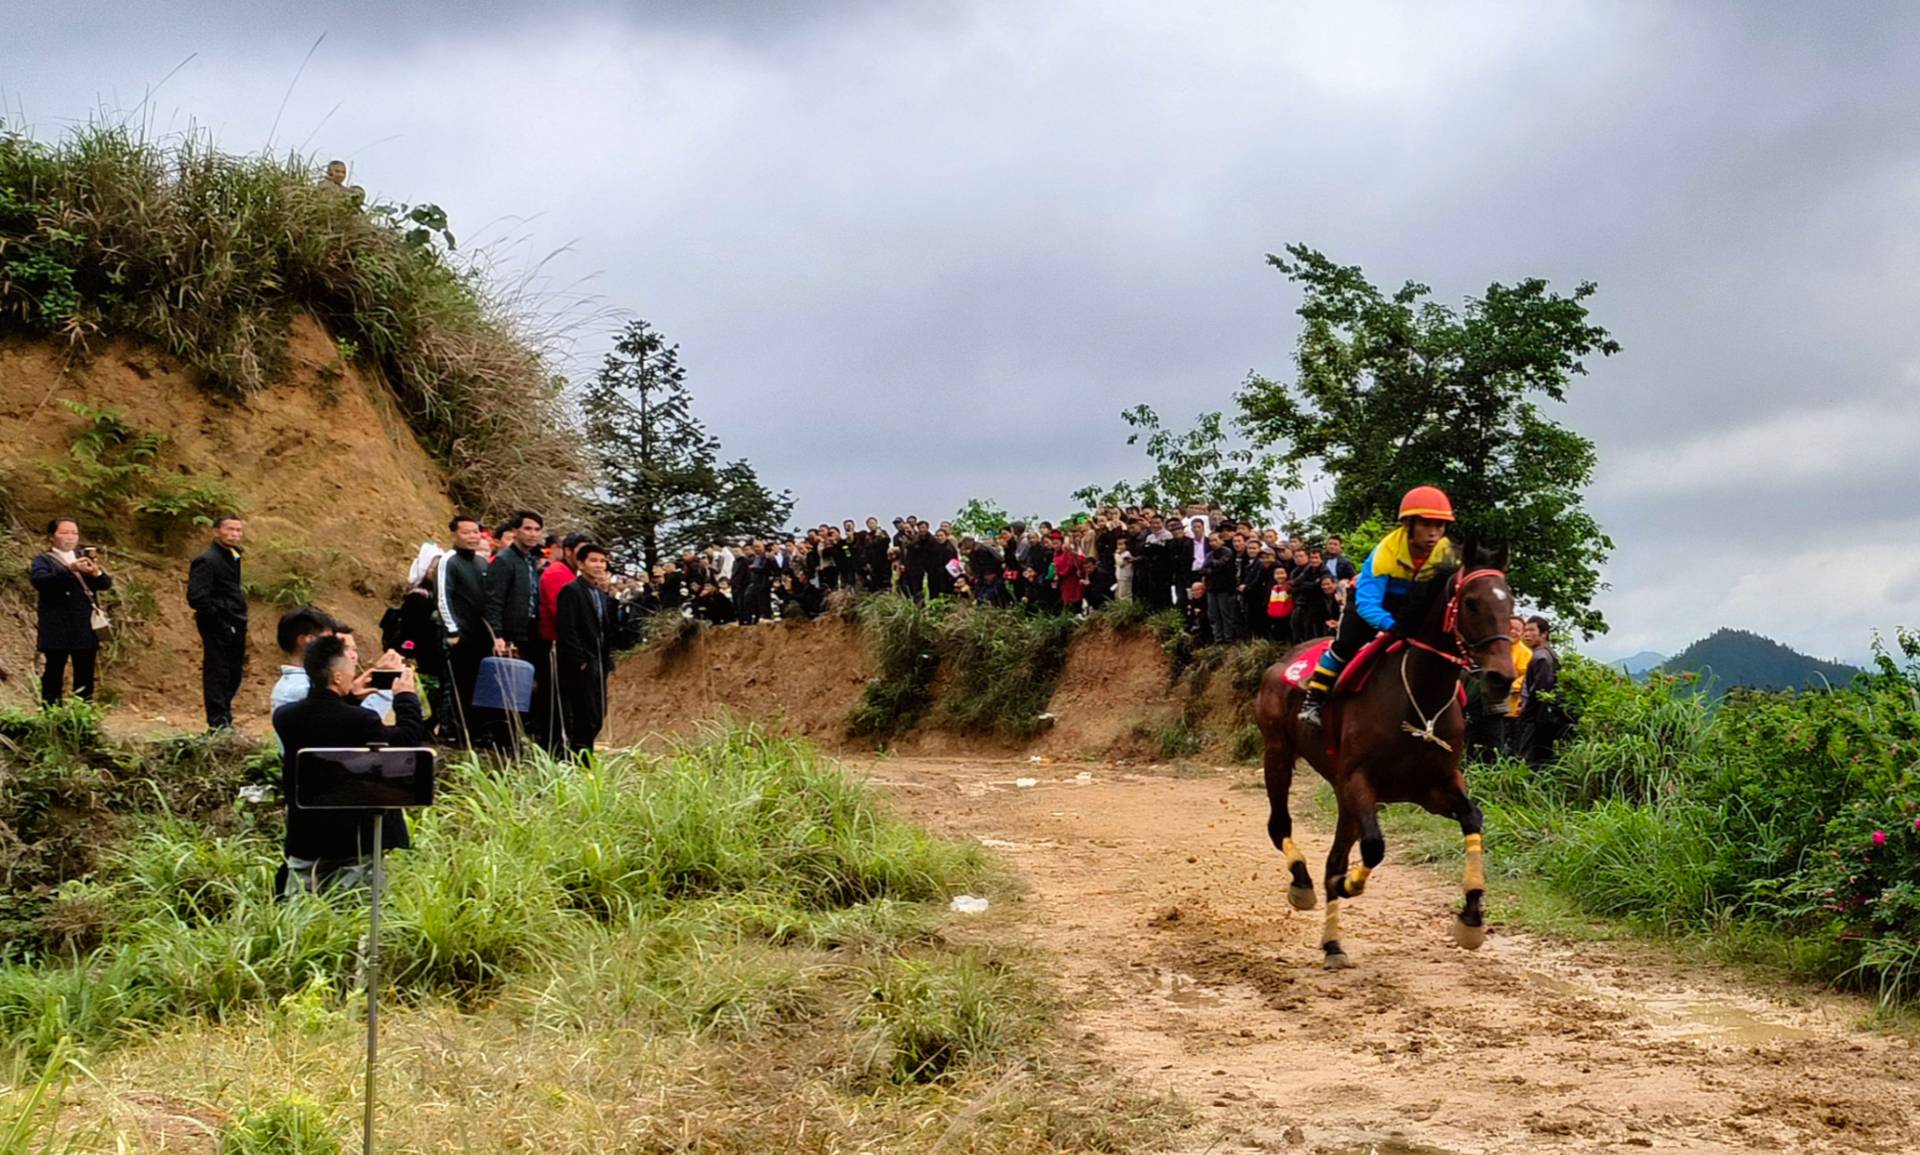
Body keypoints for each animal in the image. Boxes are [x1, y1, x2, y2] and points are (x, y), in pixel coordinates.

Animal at [1251, 541, 1520, 963]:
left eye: (1509, 601)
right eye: (1471, 602)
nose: (1502, 677)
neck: (1420, 697)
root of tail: (1282, 660)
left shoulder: (1433, 787)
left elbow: (1473, 819)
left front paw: (1472, 917)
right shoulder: (1360, 782)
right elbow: (1375, 847)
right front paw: (1350, 885)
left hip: (1342, 795)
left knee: (1333, 858)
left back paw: (1332, 944)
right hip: (1278, 753)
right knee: (1280, 827)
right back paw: (1302, 884)